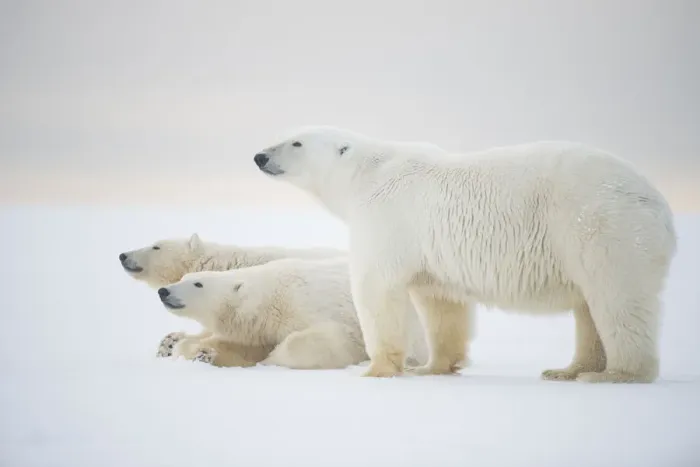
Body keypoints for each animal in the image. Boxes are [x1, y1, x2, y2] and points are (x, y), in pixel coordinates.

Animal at [156, 257, 430, 370]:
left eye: (198, 284)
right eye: (184, 277)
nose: (163, 291)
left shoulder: (309, 306)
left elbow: (325, 341)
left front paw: (273, 358)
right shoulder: (257, 328)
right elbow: (239, 345)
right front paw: (200, 352)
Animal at [252, 125, 677, 383]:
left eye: (296, 142)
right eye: (288, 136)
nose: (259, 156)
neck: (365, 175)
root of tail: (659, 205)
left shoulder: (387, 217)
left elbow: (378, 290)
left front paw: (377, 369)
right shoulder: (430, 248)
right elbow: (440, 302)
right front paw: (434, 367)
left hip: (603, 227)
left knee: (617, 299)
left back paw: (617, 373)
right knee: (589, 306)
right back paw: (566, 370)